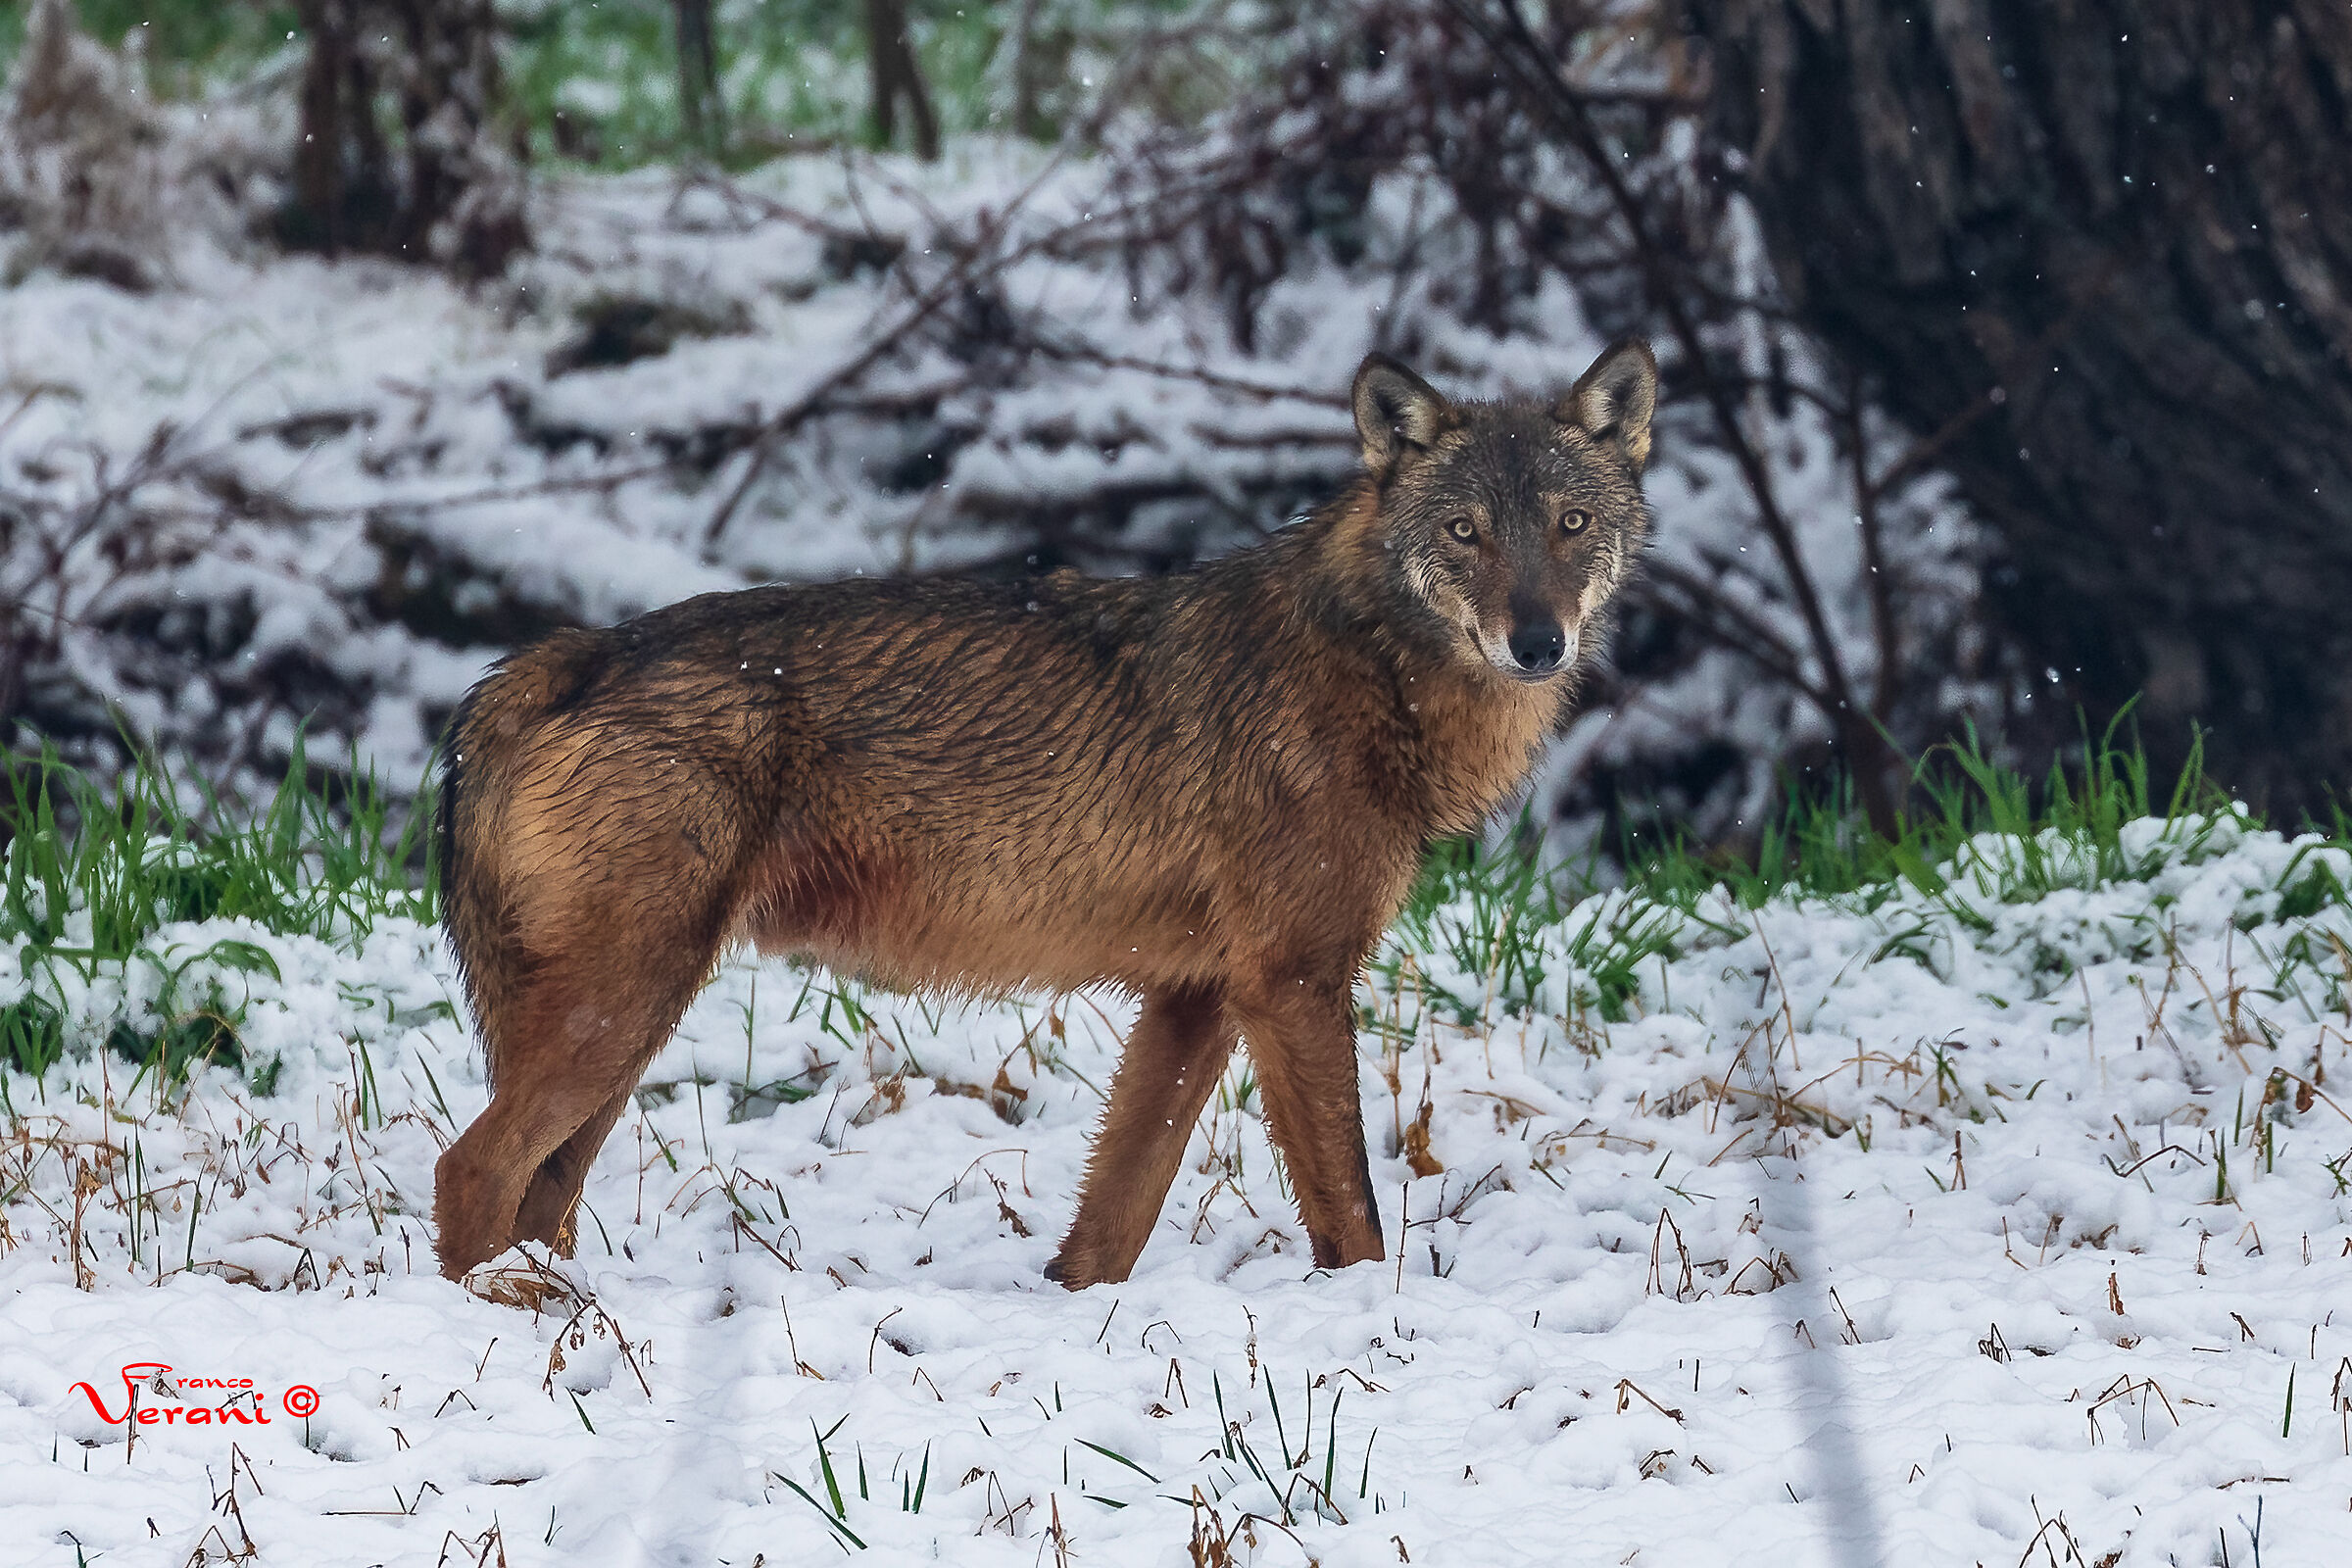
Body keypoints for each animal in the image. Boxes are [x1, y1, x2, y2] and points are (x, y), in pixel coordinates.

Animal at [430, 340, 1658, 1286]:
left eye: (1569, 522)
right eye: (1464, 533)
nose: (1536, 641)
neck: (1369, 670)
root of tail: (565, 654)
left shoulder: (1197, 998)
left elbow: (1113, 1218)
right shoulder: (1295, 984)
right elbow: (1348, 1208)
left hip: (631, 1022)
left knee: (540, 1187)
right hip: (627, 1007)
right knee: (471, 1166)